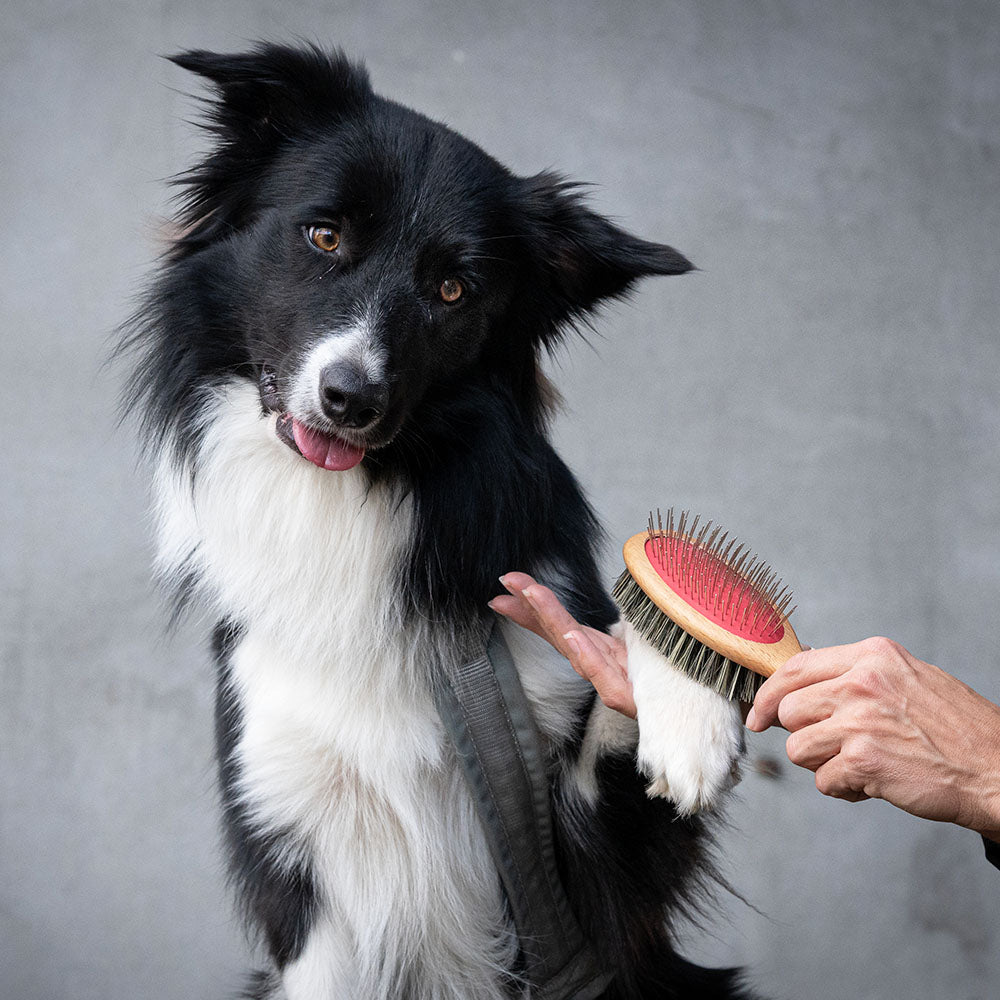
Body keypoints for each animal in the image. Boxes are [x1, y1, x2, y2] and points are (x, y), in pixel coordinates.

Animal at [123, 43, 752, 996]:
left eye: (454, 289)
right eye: (324, 236)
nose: (350, 399)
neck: (352, 502)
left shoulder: (598, 888)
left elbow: (641, 638)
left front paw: (691, 705)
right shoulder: (301, 872)